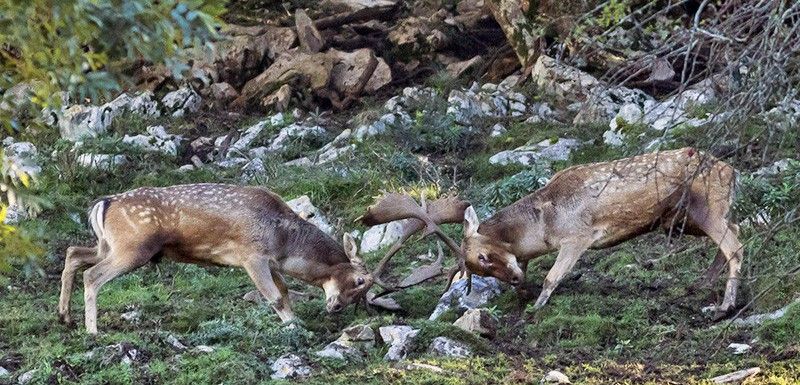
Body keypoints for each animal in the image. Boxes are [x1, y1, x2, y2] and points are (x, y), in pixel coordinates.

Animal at [56, 182, 376, 332]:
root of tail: (103, 203)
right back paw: (92, 331)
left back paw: (65, 317)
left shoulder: (271, 262)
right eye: (360, 281)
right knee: (92, 274)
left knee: (74, 253)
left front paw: (295, 321)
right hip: (133, 247)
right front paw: (293, 327)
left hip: (109, 245)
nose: (336, 307)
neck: (285, 243)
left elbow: (284, 292)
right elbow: (274, 297)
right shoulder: (252, 254)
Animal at [360, 147, 740, 316]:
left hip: (706, 206)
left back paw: (723, 306)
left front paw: (537, 305)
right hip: (688, 219)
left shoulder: (578, 236)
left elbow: (552, 276)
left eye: (482, 256)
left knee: (734, 244)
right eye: (477, 270)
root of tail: (731, 170)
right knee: (732, 233)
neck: (541, 229)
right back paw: (702, 286)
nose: (514, 279)